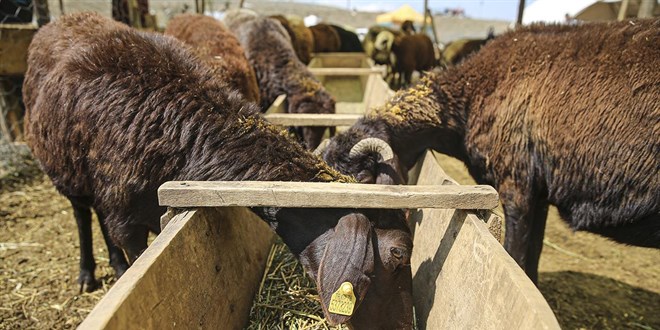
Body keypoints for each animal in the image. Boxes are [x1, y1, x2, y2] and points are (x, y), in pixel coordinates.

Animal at [318, 20, 656, 284]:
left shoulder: (517, 188)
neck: (471, 95)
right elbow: (533, 255)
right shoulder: (539, 193)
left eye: (364, 176)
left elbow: (517, 254)